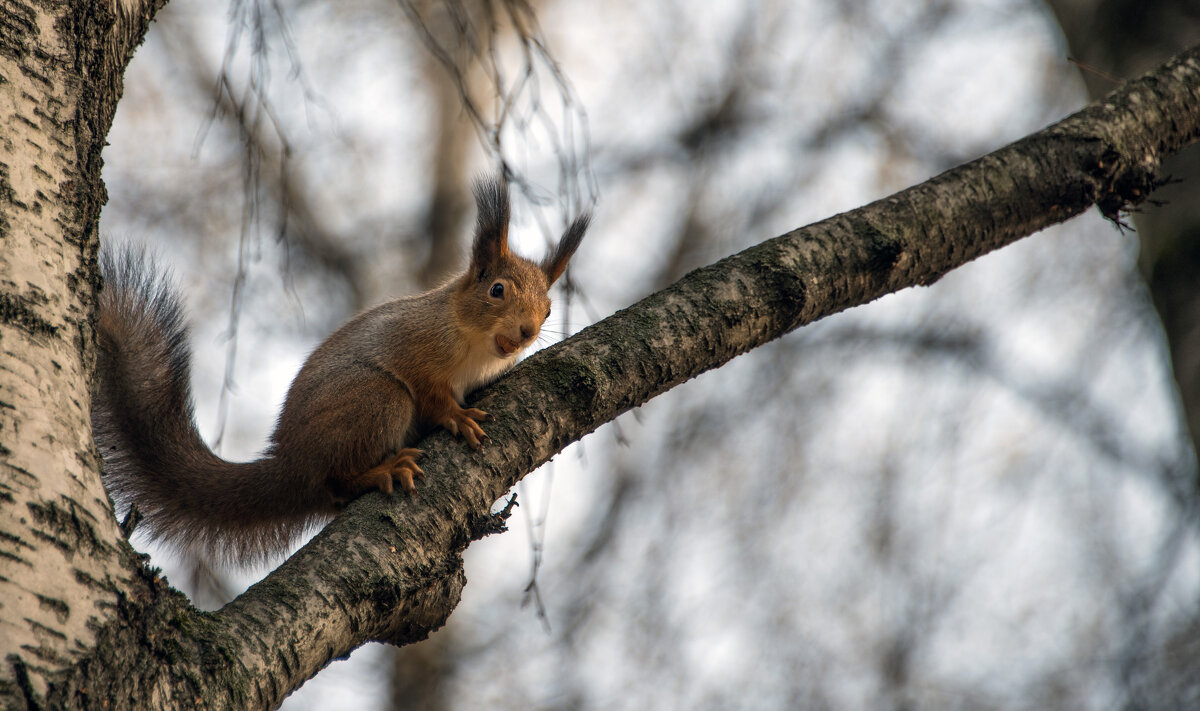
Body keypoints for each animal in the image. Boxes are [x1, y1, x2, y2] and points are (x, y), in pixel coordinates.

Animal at [91, 176, 588, 562]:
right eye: (497, 290)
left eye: (548, 310)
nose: (526, 332)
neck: (476, 348)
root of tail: (291, 464)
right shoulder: (415, 346)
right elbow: (432, 394)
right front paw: (458, 416)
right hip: (377, 400)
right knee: (337, 478)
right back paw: (382, 470)